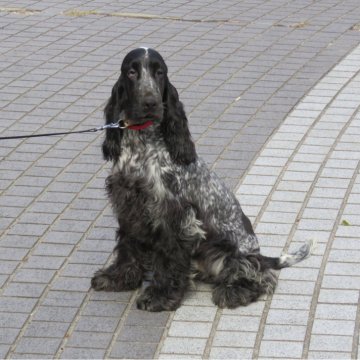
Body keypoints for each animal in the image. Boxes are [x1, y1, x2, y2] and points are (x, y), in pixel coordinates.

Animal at [90, 48, 312, 312]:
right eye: (132, 72)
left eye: (159, 72)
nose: (151, 103)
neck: (142, 145)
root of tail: (260, 254)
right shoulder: (128, 203)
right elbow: (127, 244)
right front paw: (118, 277)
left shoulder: (175, 216)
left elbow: (169, 257)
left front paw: (160, 296)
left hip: (229, 250)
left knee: (259, 275)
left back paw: (234, 291)